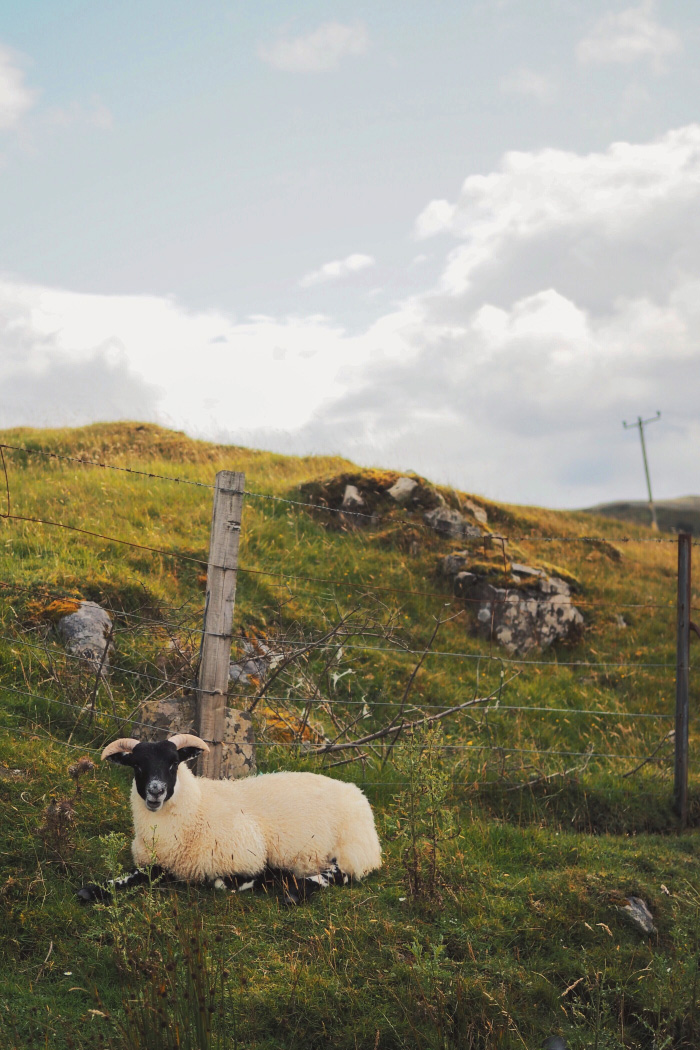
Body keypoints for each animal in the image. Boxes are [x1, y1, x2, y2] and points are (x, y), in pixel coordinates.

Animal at [78, 734, 384, 907]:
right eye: (137, 765)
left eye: (174, 763)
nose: (156, 791)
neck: (198, 807)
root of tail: (356, 791)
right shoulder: (159, 863)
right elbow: (132, 876)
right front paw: (93, 890)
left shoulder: (246, 854)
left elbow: (225, 883)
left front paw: (268, 878)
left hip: (351, 850)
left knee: (340, 874)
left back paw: (293, 893)